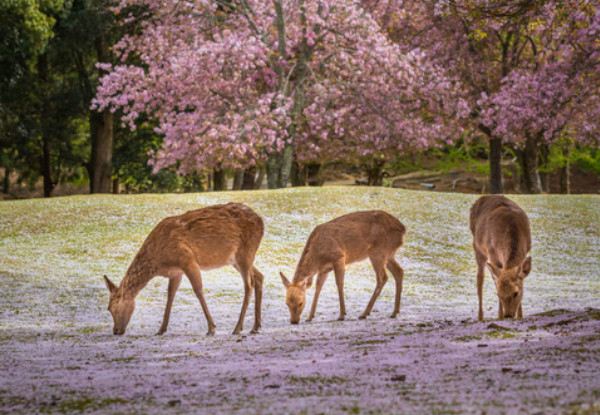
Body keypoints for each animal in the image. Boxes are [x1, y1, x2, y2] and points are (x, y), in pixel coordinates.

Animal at [102, 203, 264, 336]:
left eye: (110, 307)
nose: (116, 330)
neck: (159, 260)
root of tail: (262, 222)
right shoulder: (175, 272)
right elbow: (170, 295)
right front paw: (161, 329)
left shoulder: (187, 259)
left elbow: (198, 290)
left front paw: (211, 328)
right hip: (237, 259)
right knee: (259, 277)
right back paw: (255, 326)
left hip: (245, 252)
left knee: (249, 284)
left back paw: (238, 328)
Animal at [278, 211, 406, 324]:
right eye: (286, 303)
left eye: (300, 302)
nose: (294, 321)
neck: (318, 257)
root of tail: (403, 229)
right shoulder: (324, 269)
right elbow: (318, 288)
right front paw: (310, 317)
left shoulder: (339, 258)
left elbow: (339, 284)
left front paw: (342, 315)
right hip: (389, 254)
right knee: (399, 271)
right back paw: (395, 312)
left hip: (378, 252)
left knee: (383, 277)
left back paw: (364, 313)